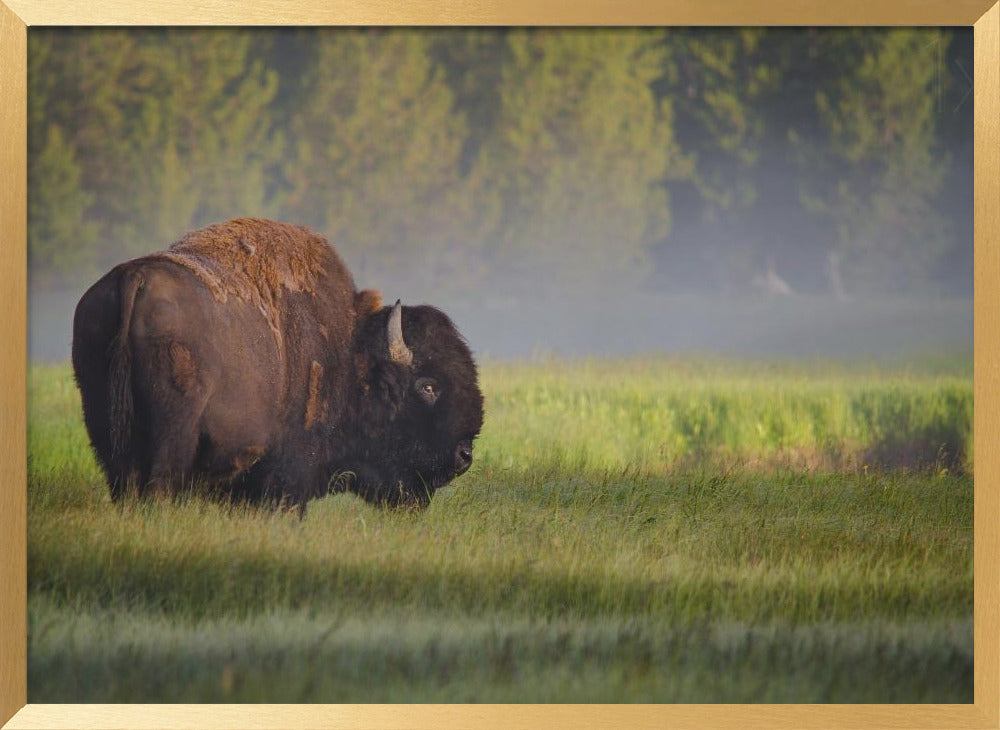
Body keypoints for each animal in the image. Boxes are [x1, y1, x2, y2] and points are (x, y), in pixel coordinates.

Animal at [72, 218, 484, 509]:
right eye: (427, 385)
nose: (464, 456)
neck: (348, 349)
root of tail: (135, 278)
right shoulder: (289, 471)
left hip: (105, 426)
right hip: (172, 434)